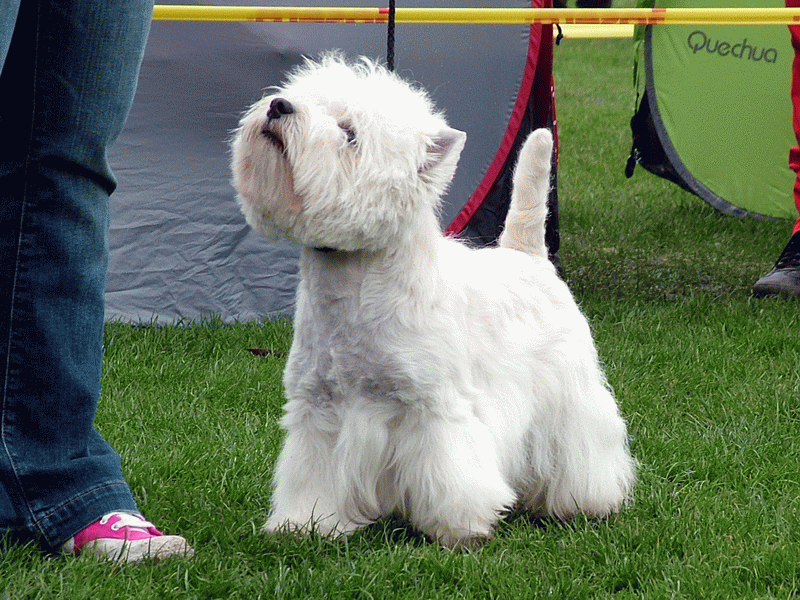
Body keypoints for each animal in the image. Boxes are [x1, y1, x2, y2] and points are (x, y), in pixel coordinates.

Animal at [231, 53, 635, 547]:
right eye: (302, 95)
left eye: (349, 133)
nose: (279, 105)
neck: (351, 286)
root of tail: (528, 254)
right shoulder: (318, 408)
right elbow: (313, 473)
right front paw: (303, 523)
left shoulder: (435, 407)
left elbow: (449, 471)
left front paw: (458, 528)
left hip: (569, 394)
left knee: (585, 446)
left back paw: (587, 502)